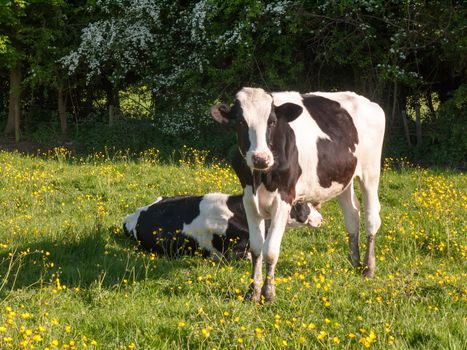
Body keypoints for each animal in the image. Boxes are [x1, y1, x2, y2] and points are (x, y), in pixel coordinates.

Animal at [210, 87, 386, 300]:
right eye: (241, 122)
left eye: (272, 121)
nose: (260, 158)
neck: (261, 177)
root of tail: (367, 101)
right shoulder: (249, 199)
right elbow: (256, 248)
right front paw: (253, 292)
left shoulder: (284, 199)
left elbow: (270, 250)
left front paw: (268, 294)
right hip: (343, 177)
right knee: (352, 215)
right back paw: (354, 262)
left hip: (371, 172)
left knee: (371, 217)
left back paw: (369, 268)